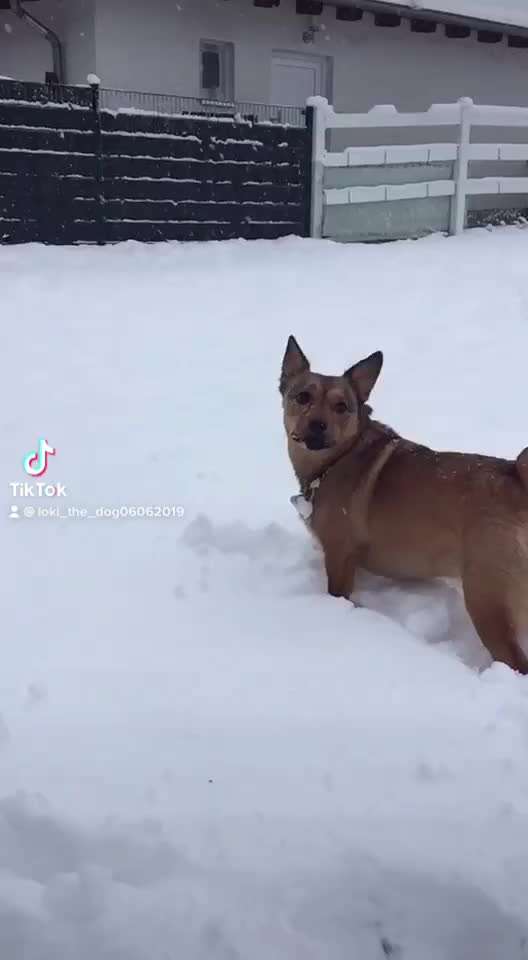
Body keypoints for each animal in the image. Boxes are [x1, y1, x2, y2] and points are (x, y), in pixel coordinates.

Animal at [280, 338, 528, 676]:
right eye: (302, 396)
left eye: (341, 407)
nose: (318, 425)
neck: (334, 461)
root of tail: (518, 477)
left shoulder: (340, 555)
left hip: (488, 598)